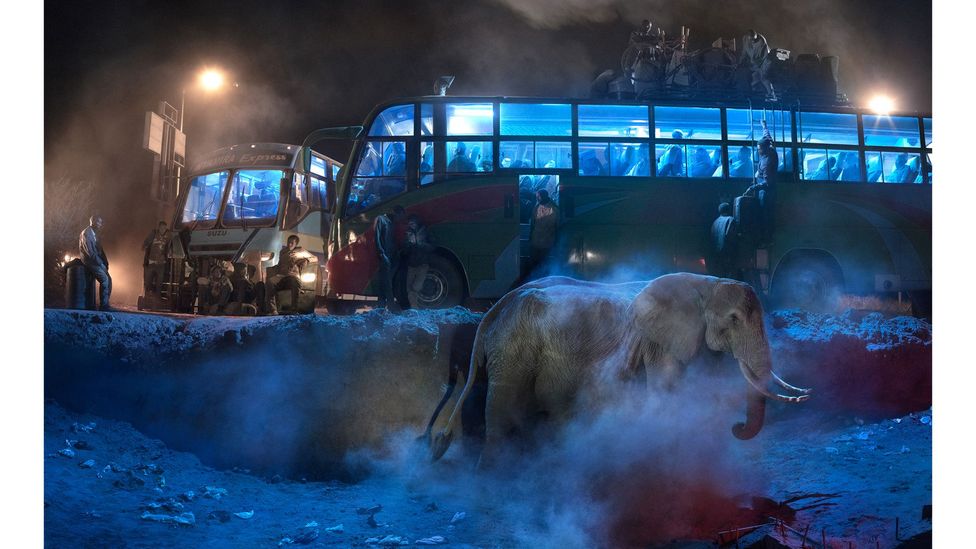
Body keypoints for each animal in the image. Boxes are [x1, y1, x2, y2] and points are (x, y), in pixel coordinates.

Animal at [428, 272, 808, 460]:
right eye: (733, 319)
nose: (736, 427)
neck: (708, 283)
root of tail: (498, 306)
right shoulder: (659, 341)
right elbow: (666, 390)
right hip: (513, 351)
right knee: (502, 412)